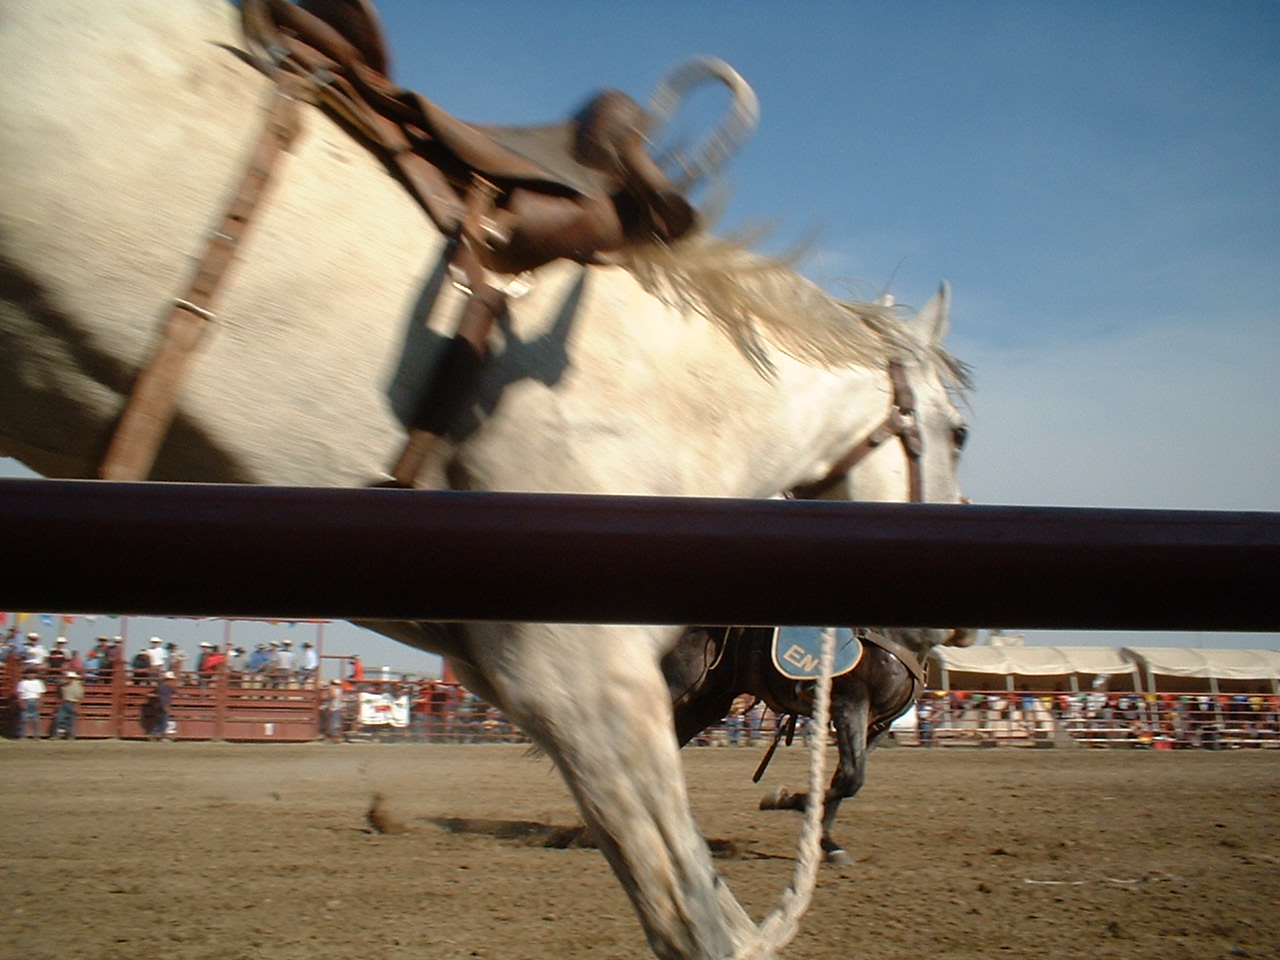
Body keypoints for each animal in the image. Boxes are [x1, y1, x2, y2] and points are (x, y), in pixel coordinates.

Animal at [664, 625, 973, 864]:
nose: (964, 636)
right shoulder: (850, 702)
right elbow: (850, 778)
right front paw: (783, 799)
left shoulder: (879, 725)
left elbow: (844, 779)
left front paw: (826, 844)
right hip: (679, 688)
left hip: (706, 703)